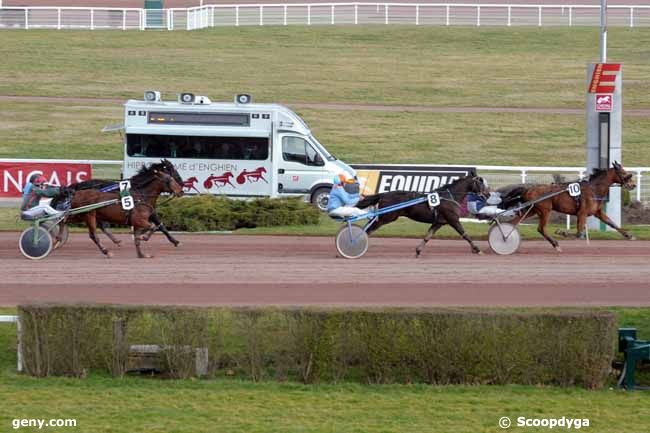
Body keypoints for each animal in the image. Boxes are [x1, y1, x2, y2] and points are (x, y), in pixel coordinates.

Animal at [354, 176, 486, 256]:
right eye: (482, 185)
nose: (488, 194)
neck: (449, 197)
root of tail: (383, 195)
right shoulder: (453, 219)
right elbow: (465, 234)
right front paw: (478, 250)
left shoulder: (439, 222)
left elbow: (428, 236)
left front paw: (418, 251)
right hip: (386, 217)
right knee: (368, 230)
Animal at [496, 161, 632, 250]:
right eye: (623, 172)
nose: (633, 185)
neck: (593, 189)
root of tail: (529, 189)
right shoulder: (582, 213)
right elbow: (579, 233)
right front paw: (562, 232)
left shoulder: (597, 212)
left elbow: (611, 223)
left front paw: (628, 235)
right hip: (545, 210)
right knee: (541, 228)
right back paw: (555, 244)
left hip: (532, 210)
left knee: (513, 223)